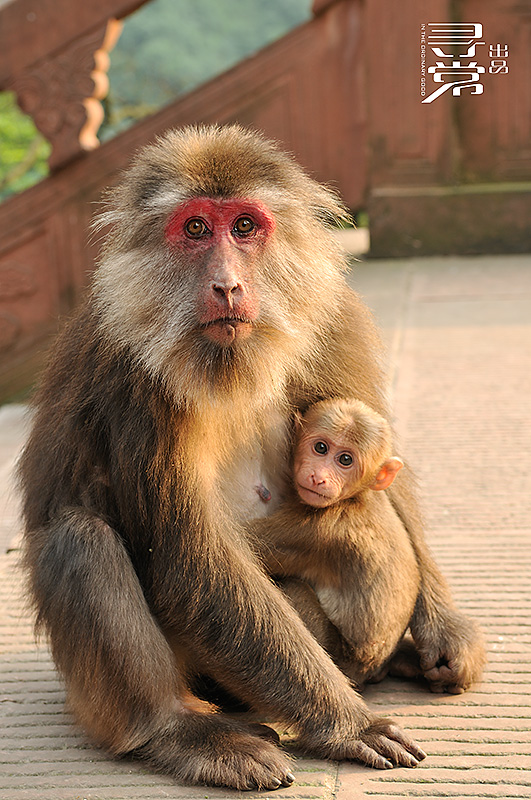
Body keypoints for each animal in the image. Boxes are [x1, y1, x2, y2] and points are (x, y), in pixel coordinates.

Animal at [251, 400, 422, 688]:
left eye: (345, 460)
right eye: (321, 447)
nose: (319, 477)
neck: (354, 498)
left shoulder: (314, 530)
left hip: (338, 656)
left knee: (293, 587)